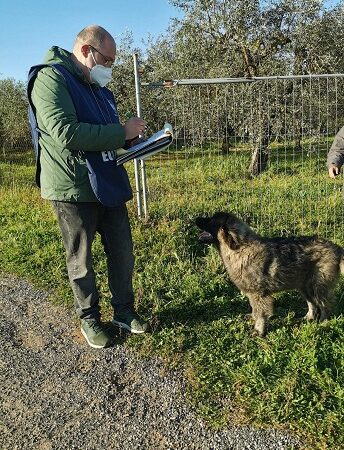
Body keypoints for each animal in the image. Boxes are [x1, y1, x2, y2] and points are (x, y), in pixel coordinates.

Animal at [196, 213, 344, 336]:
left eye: (211, 220)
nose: (195, 218)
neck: (240, 249)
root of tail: (337, 248)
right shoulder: (253, 294)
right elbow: (255, 310)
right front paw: (253, 318)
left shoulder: (259, 294)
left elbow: (261, 313)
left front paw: (259, 330)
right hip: (304, 286)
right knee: (312, 303)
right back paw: (308, 318)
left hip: (318, 286)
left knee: (325, 306)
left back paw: (323, 323)